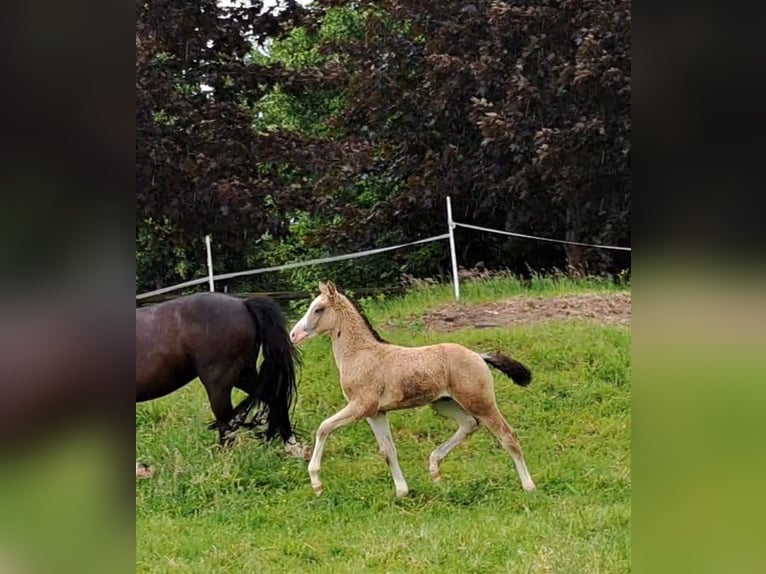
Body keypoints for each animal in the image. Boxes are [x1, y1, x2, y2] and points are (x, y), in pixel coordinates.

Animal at [136, 294, 304, 456]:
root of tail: (243, 303)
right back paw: (293, 448)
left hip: (219, 385)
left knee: (226, 424)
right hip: (244, 375)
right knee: (275, 399)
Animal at [292, 284, 536, 500]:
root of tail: (478, 356)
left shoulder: (361, 406)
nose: (294, 335)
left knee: (508, 436)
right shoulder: (375, 413)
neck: (361, 354)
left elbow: (323, 427)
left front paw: (316, 484)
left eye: (318, 309)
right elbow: (388, 451)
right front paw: (402, 492)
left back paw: (529, 486)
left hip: (480, 403)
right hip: (443, 403)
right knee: (469, 424)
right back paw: (435, 469)